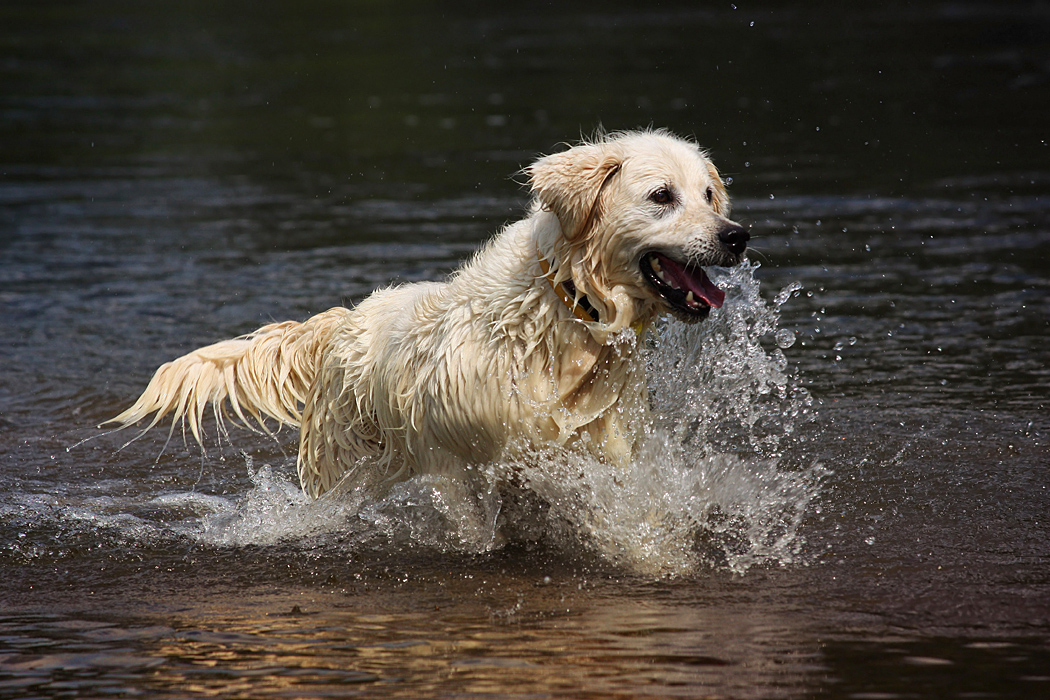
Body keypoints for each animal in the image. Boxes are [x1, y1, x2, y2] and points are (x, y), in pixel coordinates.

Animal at [104, 130, 747, 497]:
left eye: (709, 195)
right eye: (661, 196)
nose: (736, 236)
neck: (563, 313)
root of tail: (344, 320)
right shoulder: (461, 465)